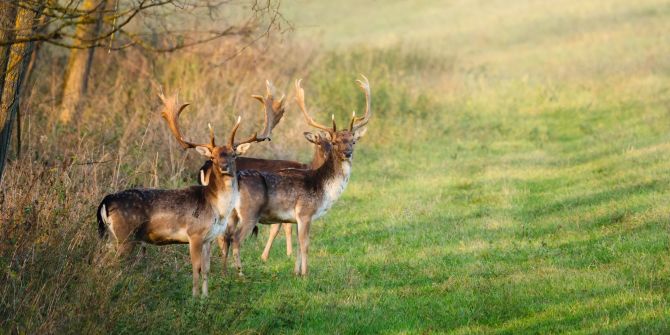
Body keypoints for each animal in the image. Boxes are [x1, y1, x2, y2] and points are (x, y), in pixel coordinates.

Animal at [95, 82, 284, 298]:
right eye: (212, 157)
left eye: (233, 154)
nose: (224, 166)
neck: (217, 209)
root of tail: (106, 200)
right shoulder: (194, 234)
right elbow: (196, 268)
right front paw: (194, 297)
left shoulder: (209, 238)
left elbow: (207, 269)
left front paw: (205, 296)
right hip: (125, 235)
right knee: (110, 264)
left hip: (112, 236)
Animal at [200, 131, 334, 262]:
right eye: (318, 144)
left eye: (332, 144)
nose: (328, 155)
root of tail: (204, 167)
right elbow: (281, 228)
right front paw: (280, 255)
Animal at [219, 75, 370, 276]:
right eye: (335, 142)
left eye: (353, 141)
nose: (348, 153)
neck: (324, 190)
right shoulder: (305, 212)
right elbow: (305, 244)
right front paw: (305, 274)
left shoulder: (297, 218)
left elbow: (299, 244)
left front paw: (296, 272)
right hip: (249, 212)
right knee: (235, 239)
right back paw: (240, 273)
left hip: (232, 214)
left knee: (225, 237)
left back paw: (225, 272)